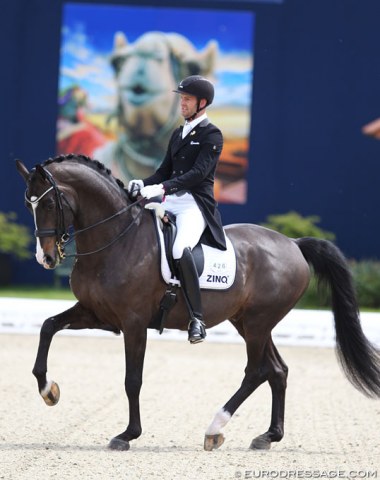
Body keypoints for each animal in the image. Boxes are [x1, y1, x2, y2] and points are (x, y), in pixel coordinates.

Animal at [16, 156, 380, 452]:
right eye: (28, 204)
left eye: (48, 205)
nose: (45, 258)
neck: (117, 238)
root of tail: (293, 243)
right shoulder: (97, 314)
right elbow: (48, 326)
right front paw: (48, 390)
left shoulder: (133, 323)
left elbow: (133, 379)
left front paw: (128, 434)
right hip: (248, 322)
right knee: (277, 370)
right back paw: (268, 436)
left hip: (259, 322)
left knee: (256, 371)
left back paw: (214, 428)